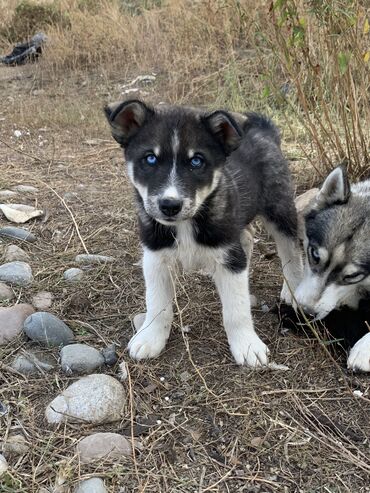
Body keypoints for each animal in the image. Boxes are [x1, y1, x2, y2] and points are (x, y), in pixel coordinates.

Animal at [105, 100, 302, 368]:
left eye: (196, 161)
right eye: (150, 158)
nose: (169, 205)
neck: (187, 224)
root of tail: (264, 130)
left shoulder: (229, 256)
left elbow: (236, 310)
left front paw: (247, 345)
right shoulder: (155, 256)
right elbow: (157, 303)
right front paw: (151, 337)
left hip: (280, 209)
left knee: (291, 251)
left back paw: (293, 289)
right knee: (247, 236)